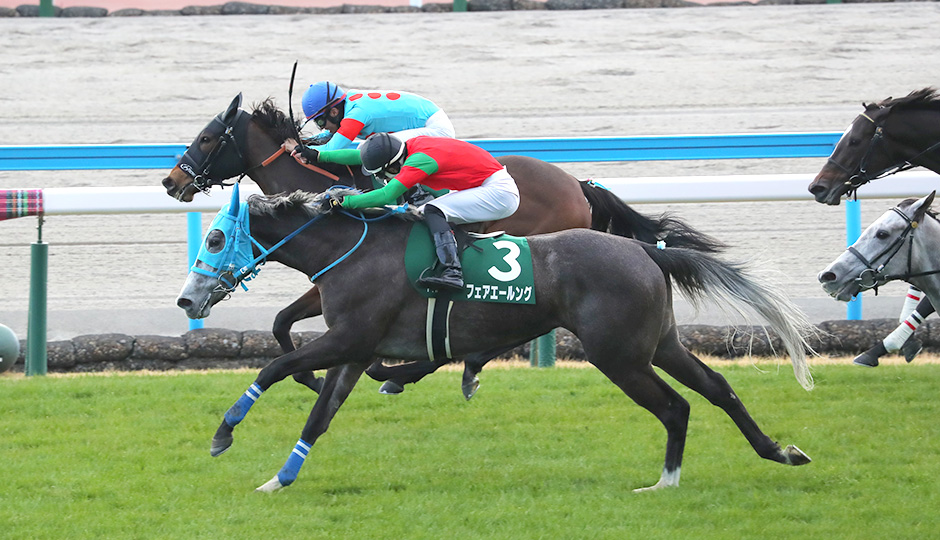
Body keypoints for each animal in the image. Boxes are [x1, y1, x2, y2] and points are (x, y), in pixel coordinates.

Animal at [162, 93, 724, 394]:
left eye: (208, 138)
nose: (172, 181)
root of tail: (578, 184)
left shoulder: (333, 279)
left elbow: (287, 323)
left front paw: (325, 377)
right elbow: (282, 323)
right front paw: (318, 378)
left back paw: (439, 370)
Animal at [175, 186, 815, 492]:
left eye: (215, 238)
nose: (186, 300)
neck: (349, 250)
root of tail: (643, 250)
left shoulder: (348, 339)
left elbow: (269, 370)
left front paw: (222, 436)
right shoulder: (354, 350)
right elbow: (319, 416)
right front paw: (278, 481)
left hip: (618, 355)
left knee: (676, 406)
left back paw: (665, 482)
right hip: (658, 344)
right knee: (718, 388)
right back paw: (780, 451)